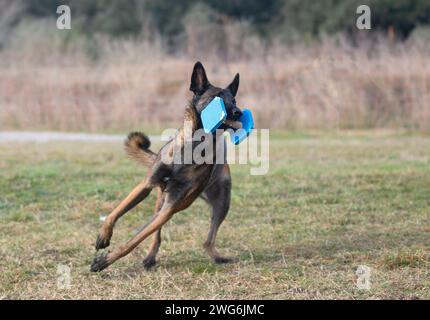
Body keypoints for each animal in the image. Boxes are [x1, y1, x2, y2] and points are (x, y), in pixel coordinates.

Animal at [90, 61, 242, 272]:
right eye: (217, 98)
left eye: (234, 100)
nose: (239, 112)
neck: (193, 147)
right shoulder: (146, 185)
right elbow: (117, 211)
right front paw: (104, 235)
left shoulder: (170, 207)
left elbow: (133, 241)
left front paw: (104, 261)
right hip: (161, 201)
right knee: (157, 236)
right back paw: (150, 257)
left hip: (222, 200)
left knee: (207, 240)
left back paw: (217, 256)